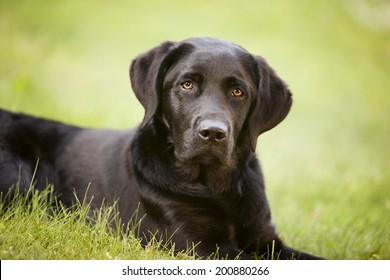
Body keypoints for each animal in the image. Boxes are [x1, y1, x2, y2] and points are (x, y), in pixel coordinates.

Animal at [0, 37, 322, 260]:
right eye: (187, 84)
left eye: (238, 91)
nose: (213, 133)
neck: (217, 188)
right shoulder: (199, 244)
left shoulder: (266, 240)